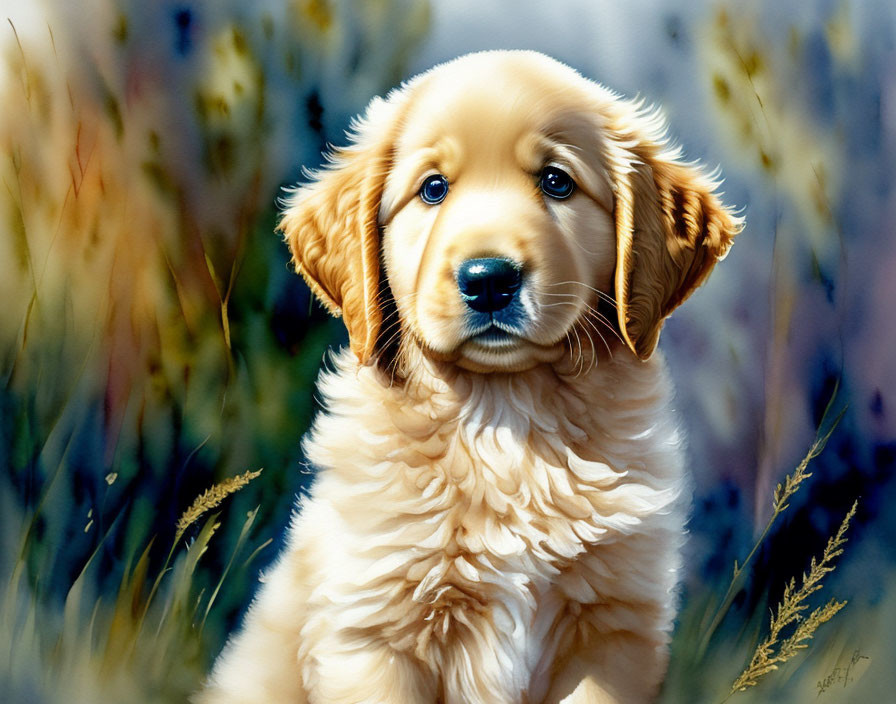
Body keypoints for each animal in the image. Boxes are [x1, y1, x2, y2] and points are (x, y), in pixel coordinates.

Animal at [198, 51, 744, 704]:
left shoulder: (612, 631)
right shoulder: (374, 635)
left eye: (557, 181)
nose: (488, 279)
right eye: (433, 188)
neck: (502, 421)